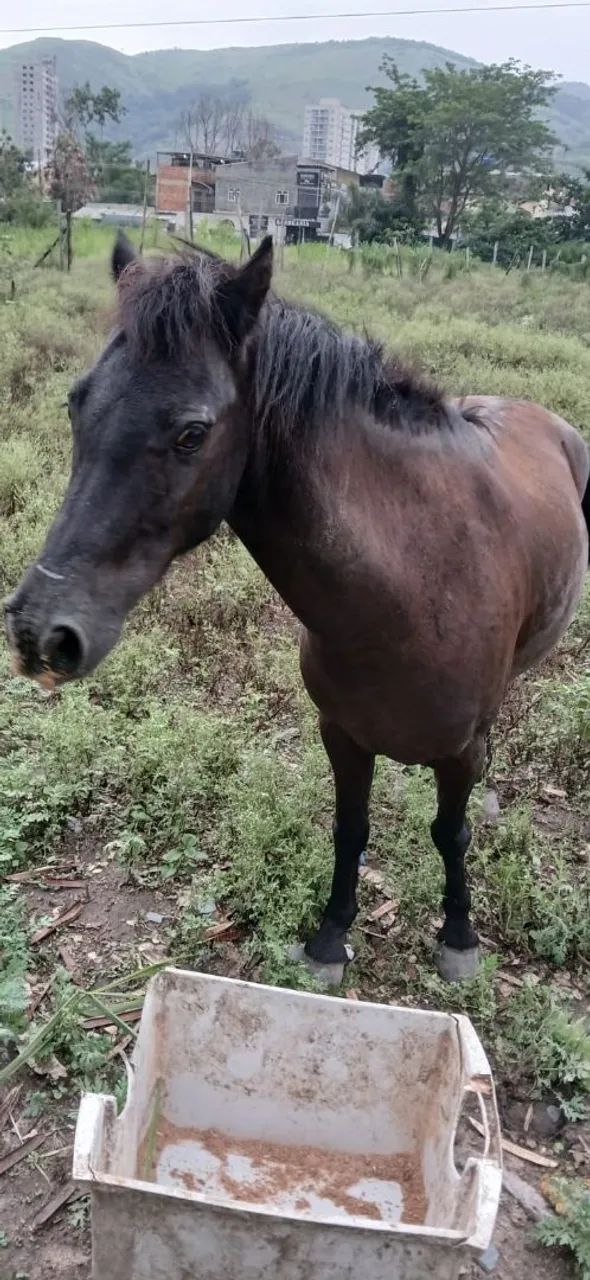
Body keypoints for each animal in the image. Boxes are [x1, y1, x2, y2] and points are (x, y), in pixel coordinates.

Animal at [6, 233, 589, 982]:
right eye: (76, 404)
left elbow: (449, 831)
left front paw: (459, 937)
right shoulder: (340, 733)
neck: (413, 583)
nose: (40, 631)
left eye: (192, 433)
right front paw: (330, 937)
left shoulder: (456, 751)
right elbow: (351, 829)